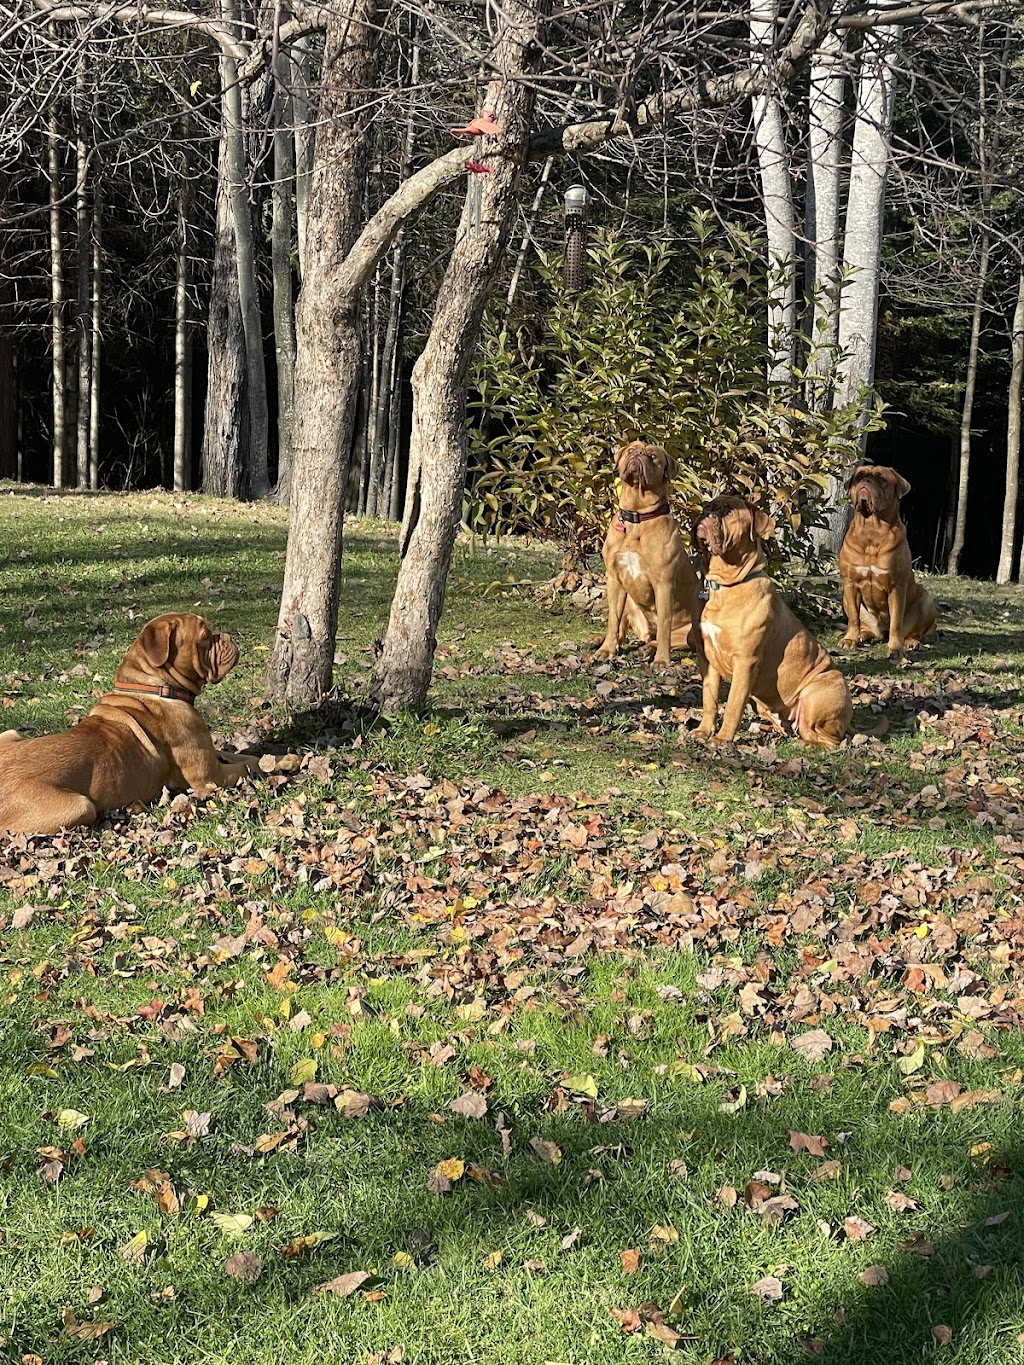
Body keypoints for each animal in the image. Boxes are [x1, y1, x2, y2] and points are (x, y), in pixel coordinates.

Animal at [0, 614, 260, 835]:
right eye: (205, 637)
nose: (227, 636)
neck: (155, 687)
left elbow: (245, 757)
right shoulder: (211, 777)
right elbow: (249, 766)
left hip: (9, 733)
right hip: (82, 806)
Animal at [592, 439, 704, 668]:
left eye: (653, 456)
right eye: (632, 449)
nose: (639, 454)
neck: (637, 517)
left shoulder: (664, 583)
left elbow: (664, 626)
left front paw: (661, 660)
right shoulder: (614, 578)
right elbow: (613, 619)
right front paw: (606, 649)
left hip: (690, 629)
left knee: (661, 637)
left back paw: (648, 649)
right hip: (629, 600)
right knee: (623, 630)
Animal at [693, 494, 851, 748]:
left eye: (729, 512)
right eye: (708, 505)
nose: (707, 513)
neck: (725, 586)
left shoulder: (745, 661)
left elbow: (733, 705)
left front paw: (722, 739)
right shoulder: (707, 657)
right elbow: (710, 699)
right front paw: (703, 731)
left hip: (817, 691)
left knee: (831, 740)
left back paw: (805, 744)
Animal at [841, 464, 939, 660]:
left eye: (881, 478)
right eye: (859, 476)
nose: (866, 480)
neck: (871, 530)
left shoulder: (896, 587)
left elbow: (896, 622)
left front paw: (895, 649)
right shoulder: (850, 583)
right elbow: (854, 618)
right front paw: (850, 640)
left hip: (926, 601)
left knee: (912, 631)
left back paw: (912, 642)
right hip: (845, 599)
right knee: (864, 624)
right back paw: (863, 635)